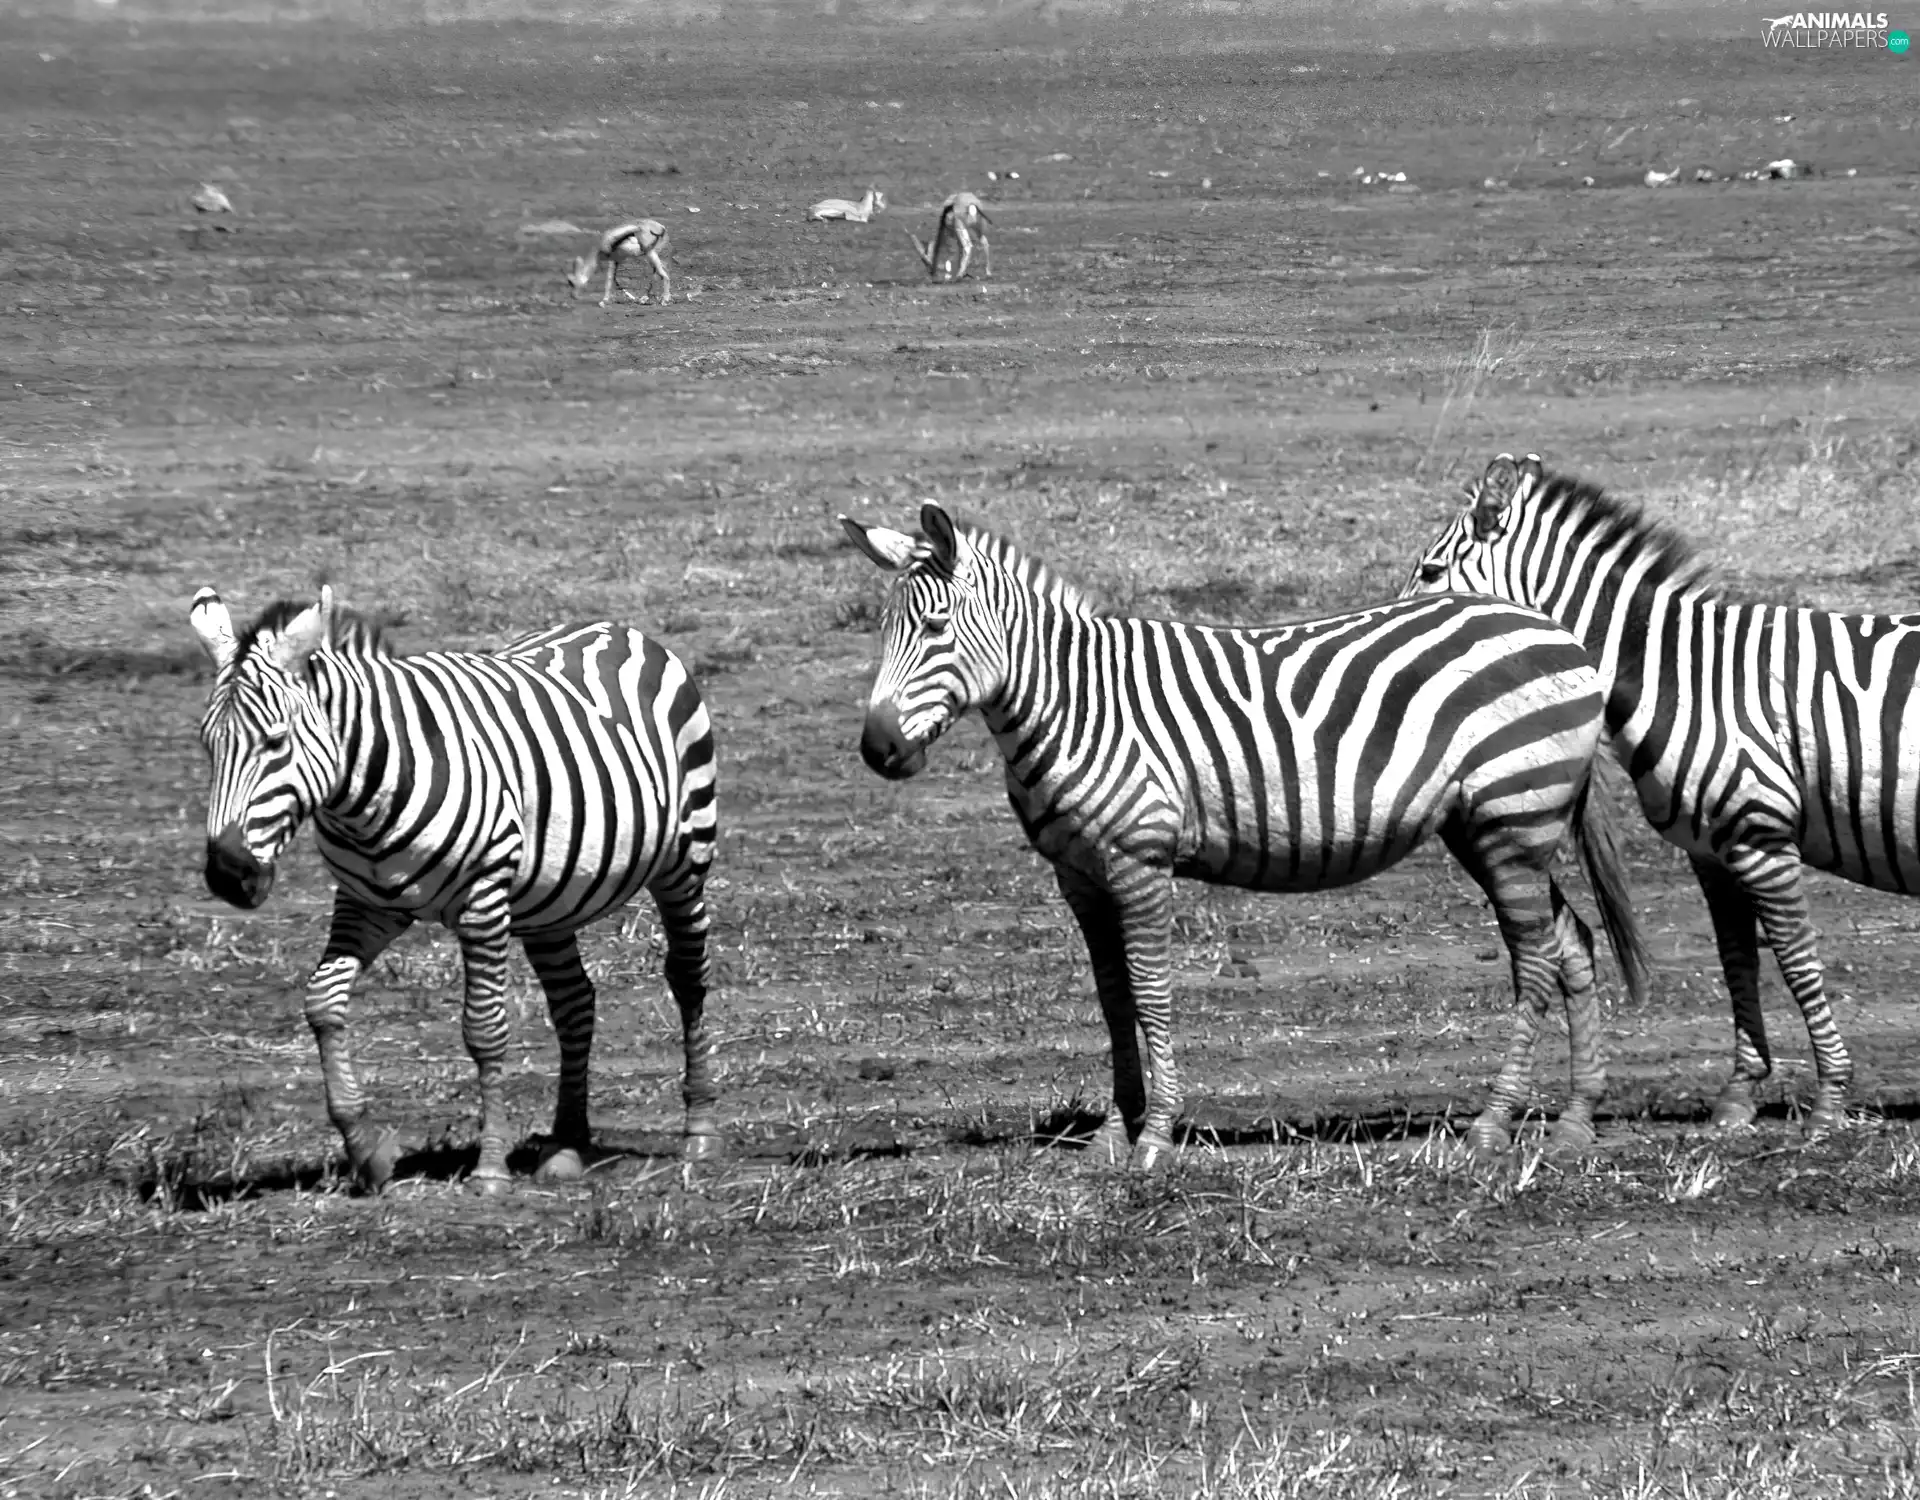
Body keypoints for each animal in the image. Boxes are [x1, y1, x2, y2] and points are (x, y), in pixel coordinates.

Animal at [188, 586, 721, 1193]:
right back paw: (566, 1143)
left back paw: (699, 1131)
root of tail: (616, 628)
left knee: (688, 976)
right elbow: (322, 1002)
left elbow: (484, 1029)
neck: (363, 798)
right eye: (208, 745)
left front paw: (488, 1168)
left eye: (276, 742)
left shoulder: (484, 896)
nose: (228, 874)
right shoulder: (365, 903)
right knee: (574, 1000)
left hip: (685, 858)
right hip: (550, 897)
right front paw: (366, 1151)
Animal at [842, 502, 1650, 1166]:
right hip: (1496, 828)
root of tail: (1558, 631)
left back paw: (1492, 1124)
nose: (877, 751)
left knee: (1536, 961)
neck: (1072, 703)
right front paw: (1112, 1134)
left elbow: (1150, 991)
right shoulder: (1079, 876)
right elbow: (1111, 999)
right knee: (1572, 941)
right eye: (882, 631)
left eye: (935, 629)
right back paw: (1576, 1119)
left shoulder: (1138, 860)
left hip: (1511, 820)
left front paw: (1156, 1135)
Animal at [1401, 450, 1920, 1133]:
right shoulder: (1713, 849)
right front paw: (1738, 1094)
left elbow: (1795, 957)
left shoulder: (1759, 832)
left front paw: (1830, 1100)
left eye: (1432, 572)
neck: (1680, 673)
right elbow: (1737, 958)